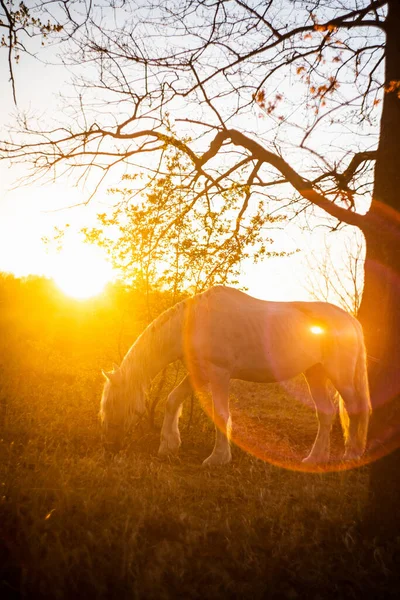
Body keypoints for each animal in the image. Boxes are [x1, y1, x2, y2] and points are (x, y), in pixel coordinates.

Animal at [101, 284, 370, 464]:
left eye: (114, 403)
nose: (111, 447)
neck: (194, 322)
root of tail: (350, 320)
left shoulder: (219, 374)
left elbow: (220, 414)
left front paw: (217, 458)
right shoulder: (199, 374)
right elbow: (172, 401)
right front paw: (169, 446)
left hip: (341, 376)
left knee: (355, 409)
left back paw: (352, 454)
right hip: (315, 374)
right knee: (325, 414)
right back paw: (314, 459)